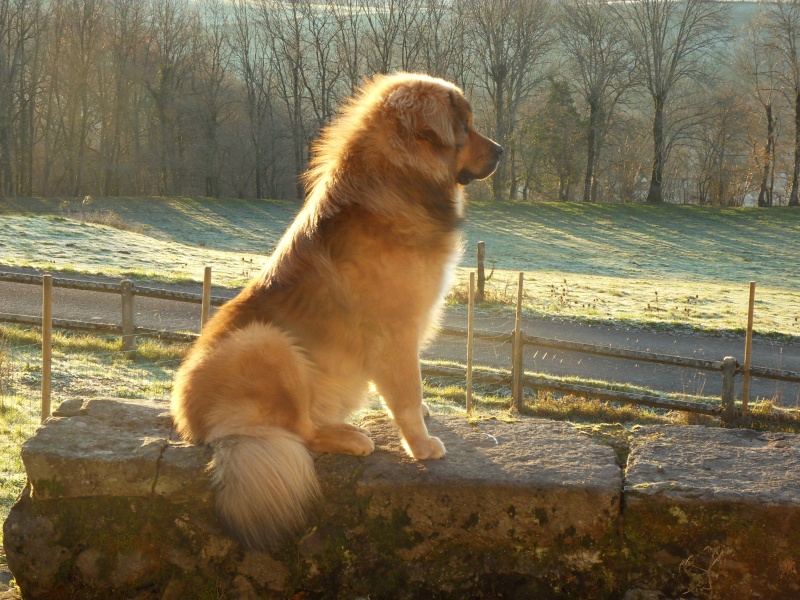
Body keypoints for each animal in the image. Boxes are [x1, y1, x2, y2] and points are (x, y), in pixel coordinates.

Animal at [172, 72, 504, 552]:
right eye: (464, 127)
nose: (502, 150)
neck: (400, 179)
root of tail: (199, 426)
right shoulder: (396, 331)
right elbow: (407, 391)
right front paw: (421, 444)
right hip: (267, 343)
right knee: (303, 430)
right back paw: (350, 437)